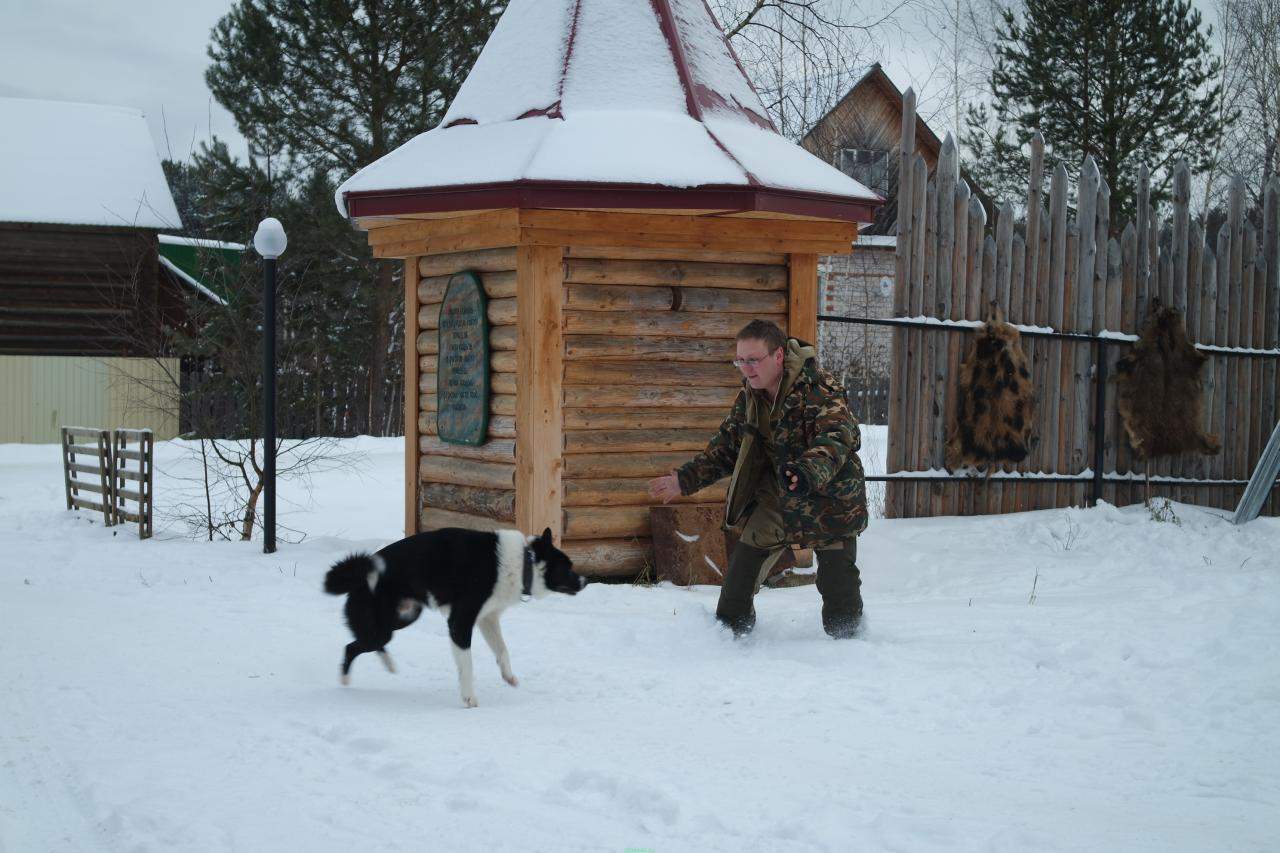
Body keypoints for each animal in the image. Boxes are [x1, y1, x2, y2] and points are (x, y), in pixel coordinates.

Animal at [324, 526, 583, 707]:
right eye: (568, 567)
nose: (584, 581)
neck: (524, 562)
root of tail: (358, 576)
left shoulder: (487, 618)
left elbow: (502, 650)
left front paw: (509, 676)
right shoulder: (460, 622)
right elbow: (467, 664)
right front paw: (469, 698)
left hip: (404, 617)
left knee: (363, 644)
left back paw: (388, 665)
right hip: (382, 627)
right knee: (352, 647)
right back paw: (346, 680)